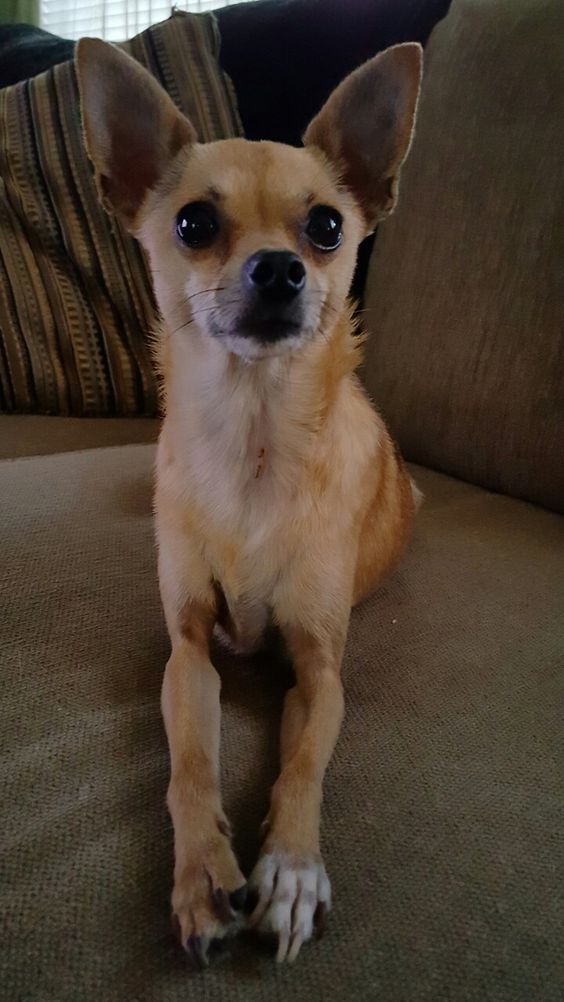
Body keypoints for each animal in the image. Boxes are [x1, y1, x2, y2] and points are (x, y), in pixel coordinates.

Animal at [75, 37, 420, 961]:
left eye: (327, 227)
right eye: (194, 223)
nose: (279, 267)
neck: (254, 441)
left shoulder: (320, 670)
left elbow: (302, 768)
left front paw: (292, 869)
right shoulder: (190, 653)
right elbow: (190, 766)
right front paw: (202, 875)